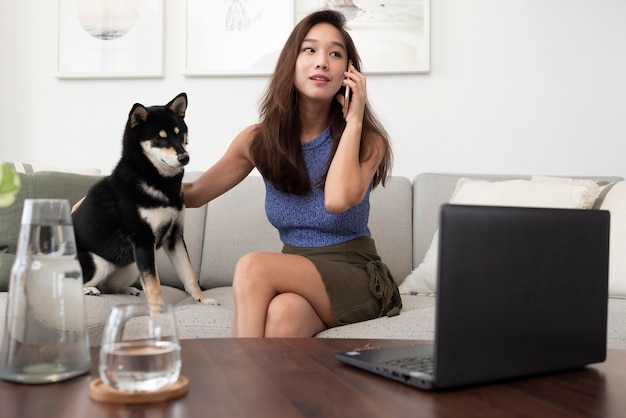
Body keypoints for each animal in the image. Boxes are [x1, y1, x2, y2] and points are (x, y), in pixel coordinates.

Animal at [71, 93, 214, 306]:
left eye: (179, 134)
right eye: (159, 138)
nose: (184, 158)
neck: (158, 181)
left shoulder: (174, 237)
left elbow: (189, 274)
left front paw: (202, 299)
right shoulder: (143, 241)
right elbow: (154, 283)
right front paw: (159, 309)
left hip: (130, 266)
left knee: (109, 287)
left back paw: (127, 290)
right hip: (98, 262)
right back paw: (89, 289)